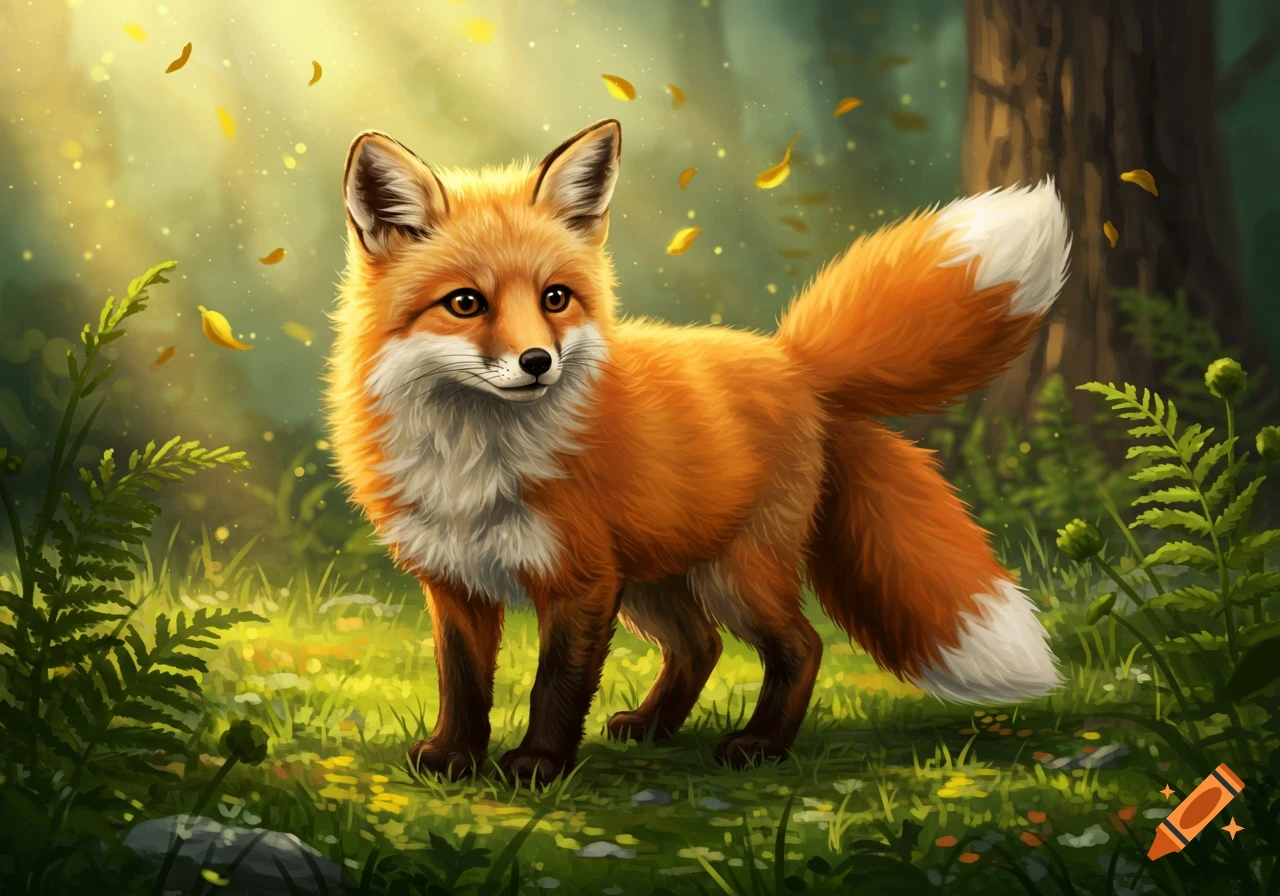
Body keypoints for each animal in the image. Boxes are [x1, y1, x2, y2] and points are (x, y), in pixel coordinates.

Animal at [325, 118, 1070, 782]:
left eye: (555, 298)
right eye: (465, 303)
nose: (538, 362)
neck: (474, 458)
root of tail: (794, 362)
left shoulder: (579, 580)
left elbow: (555, 684)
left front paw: (539, 766)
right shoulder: (455, 579)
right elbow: (463, 680)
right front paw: (453, 757)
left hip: (732, 575)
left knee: (800, 645)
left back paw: (760, 746)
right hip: (651, 582)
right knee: (700, 645)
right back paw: (654, 727)